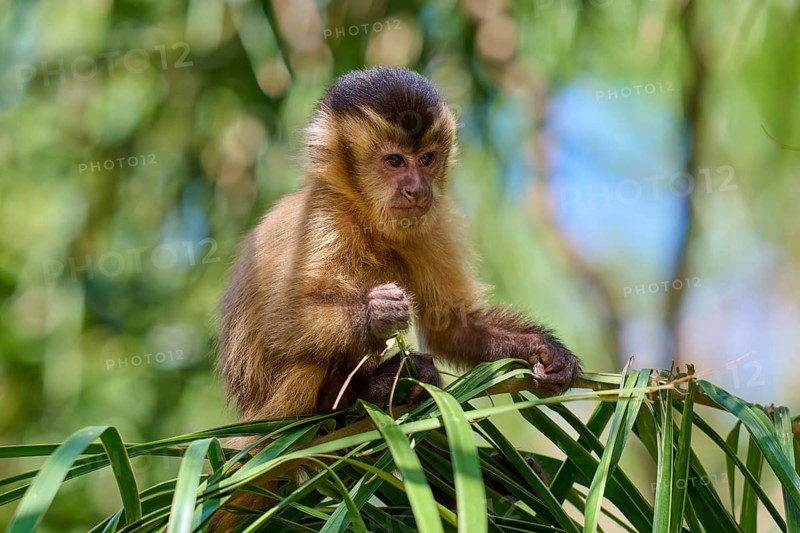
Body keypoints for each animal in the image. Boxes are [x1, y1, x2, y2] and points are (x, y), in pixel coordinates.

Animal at [212, 67, 580, 527]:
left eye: (426, 159)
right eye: (394, 162)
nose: (416, 189)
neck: (364, 217)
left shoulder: (430, 222)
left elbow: (453, 328)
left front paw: (544, 350)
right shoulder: (322, 219)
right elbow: (282, 323)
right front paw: (376, 315)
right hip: (274, 417)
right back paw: (352, 396)